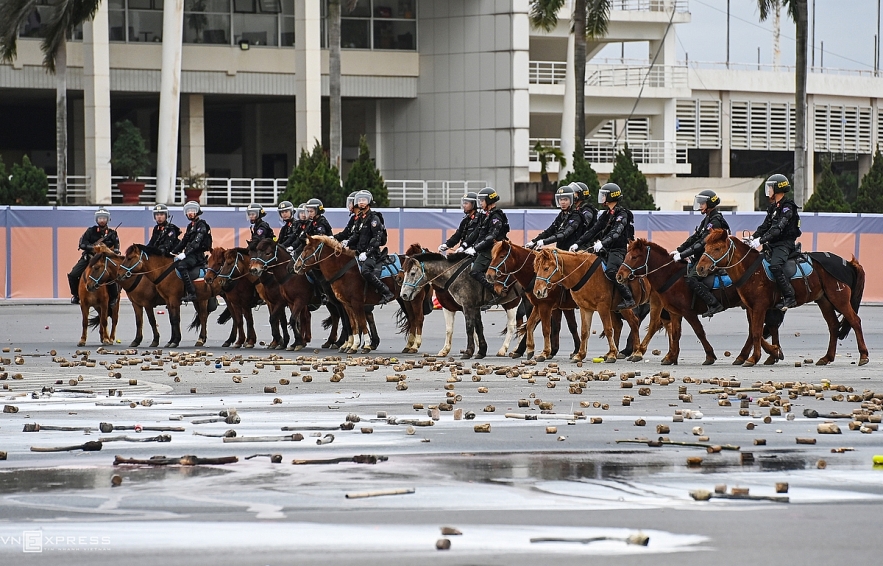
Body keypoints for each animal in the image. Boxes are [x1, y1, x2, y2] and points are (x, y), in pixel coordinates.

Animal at [620, 241, 784, 368]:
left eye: (634, 257)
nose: (619, 275)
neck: (672, 276)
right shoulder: (674, 312)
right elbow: (675, 333)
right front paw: (671, 357)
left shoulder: (688, 312)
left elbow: (699, 332)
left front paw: (710, 356)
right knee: (756, 330)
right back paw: (757, 354)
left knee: (761, 329)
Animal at [696, 231, 872, 368]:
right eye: (705, 248)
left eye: (717, 248)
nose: (700, 268)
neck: (750, 269)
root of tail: (848, 263)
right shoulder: (751, 307)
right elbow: (755, 332)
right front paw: (773, 352)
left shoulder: (759, 307)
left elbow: (756, 332)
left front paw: (754, 358)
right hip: (825, 301)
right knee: (834, 326)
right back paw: (827, 357)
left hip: (839, 298)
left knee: (855, 321)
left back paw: (863, 355)